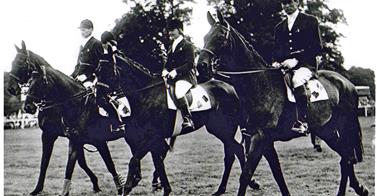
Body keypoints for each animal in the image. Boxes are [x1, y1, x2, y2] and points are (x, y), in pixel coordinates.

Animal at [6, 41, 126, 194]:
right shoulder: (59, 137)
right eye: (12, 62)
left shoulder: (89, 140)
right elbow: (50, 163)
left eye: (20, 63)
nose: (10, 88)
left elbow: (106, 164)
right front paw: (37, 189)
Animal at [197, 11, 368, 196]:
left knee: (347, 158)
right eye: (205, 37)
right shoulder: (263, 140)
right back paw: (358, 188)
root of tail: (347, 83)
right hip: (326, 130)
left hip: (342, 127)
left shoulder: (260, 138)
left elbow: (246, 175)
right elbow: (277, 173)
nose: (201, 67)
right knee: (346, 158)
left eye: (221, 37)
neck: (259, 85)